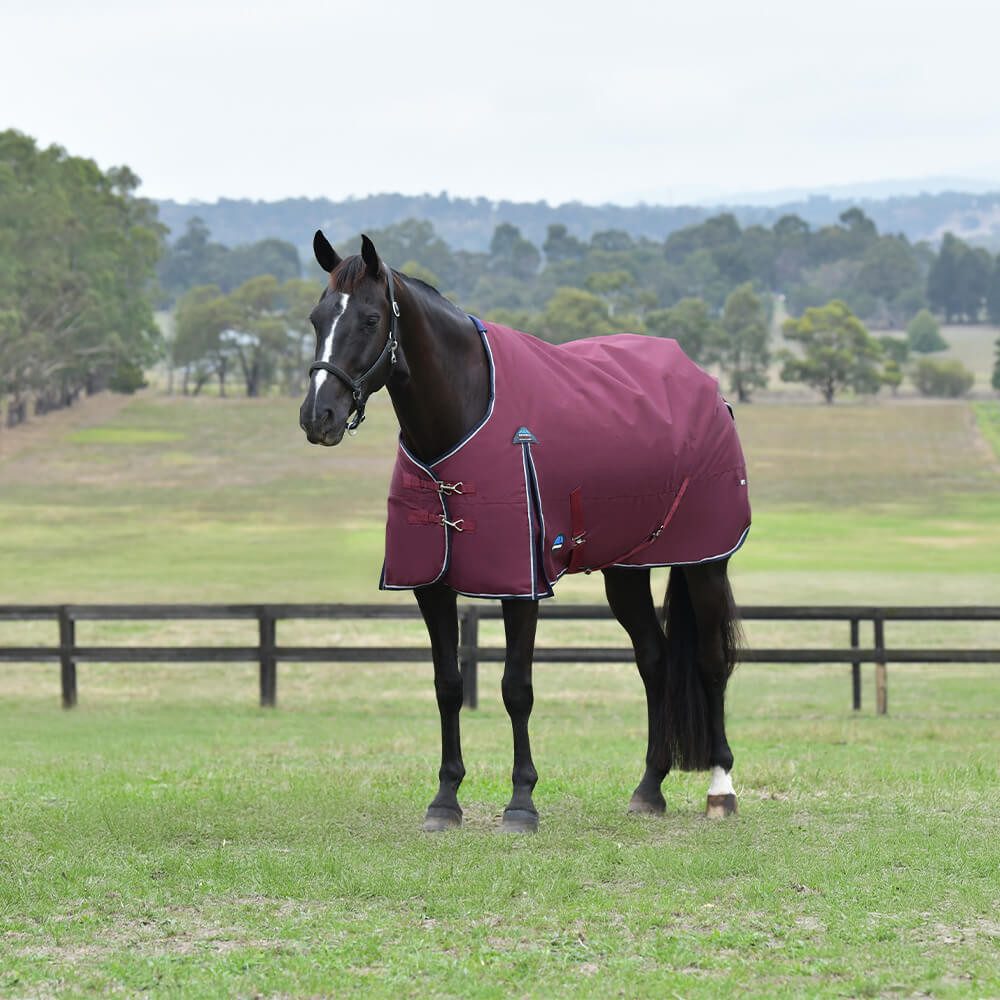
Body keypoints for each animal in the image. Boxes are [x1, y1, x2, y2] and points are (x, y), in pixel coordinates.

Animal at [299, 232, 749, 833]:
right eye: (317, 317)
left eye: (371, 319)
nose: (317, 417)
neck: (463, 416)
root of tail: (707, 387)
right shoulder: (430, 586)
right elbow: (448, 685)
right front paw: (445, 800)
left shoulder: (521, 584)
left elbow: (517, 688)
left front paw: (521, 803)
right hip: (626, 571)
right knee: (653, 660)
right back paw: (649, 788)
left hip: (705, 563)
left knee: (710, 661)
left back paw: (720, 789)